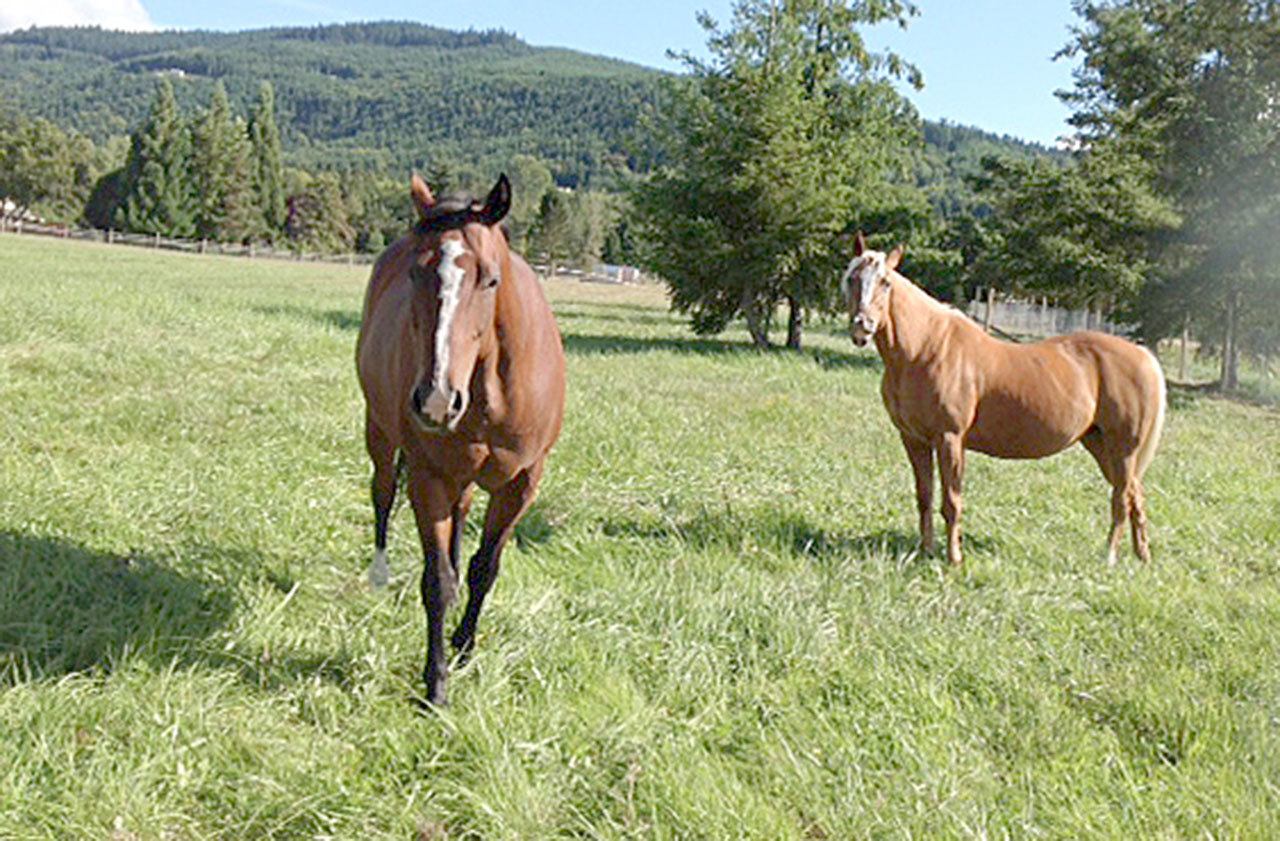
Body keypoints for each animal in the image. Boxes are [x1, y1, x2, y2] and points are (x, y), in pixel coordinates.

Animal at [356, 173, 565, 705]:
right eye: (416, 274)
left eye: (490, 279)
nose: (435, 399)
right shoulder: (428, 478)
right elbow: (437, 582)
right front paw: (436, 685)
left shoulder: (521, 484)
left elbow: (482, 569)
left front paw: (465, 647)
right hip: (379, 434)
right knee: (382, 494)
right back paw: (379, 574)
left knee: (463, 515)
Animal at [839, 232, 1166, 567]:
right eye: (852, 277)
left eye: (885, 282)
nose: (862, 326)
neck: (925, 349)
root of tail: (1143, 356)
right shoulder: (913, 439)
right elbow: (925, 497)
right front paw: (926, 551)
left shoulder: (950, 439)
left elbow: (951, 502)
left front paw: (954, 558)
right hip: (1100, 444)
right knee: (1134, 494)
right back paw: (1142, 555)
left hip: (1123, 449)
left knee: (1120, 499)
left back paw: (1110, 556)